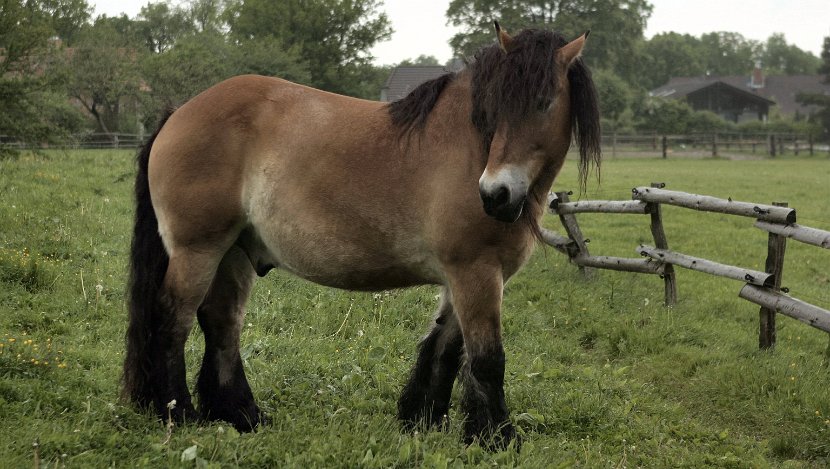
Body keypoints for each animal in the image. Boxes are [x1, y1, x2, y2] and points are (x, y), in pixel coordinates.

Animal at [122, 22, 600, 448]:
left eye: (544, 102)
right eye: (494, 108)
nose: (495, 195)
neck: (470, 152)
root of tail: (179, 113)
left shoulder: (463, 278)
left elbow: (444, 349)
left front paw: (424, 420)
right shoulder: (476, 273)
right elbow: (486, 358)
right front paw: (497, 438)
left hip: (233, 253)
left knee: (222, 323)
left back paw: (242, 414)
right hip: (197, 251)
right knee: (174, 319)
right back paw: (179, 412)